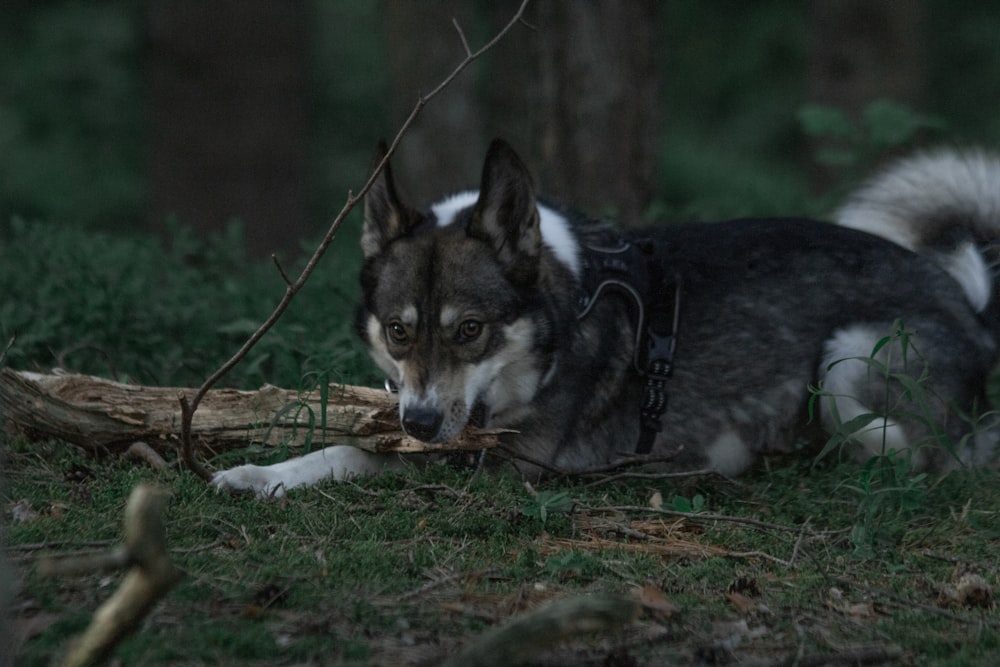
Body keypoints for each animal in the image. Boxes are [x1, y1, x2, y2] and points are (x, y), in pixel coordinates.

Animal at [211, 141, 1000, 496]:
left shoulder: (509, 460)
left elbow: (362, 454)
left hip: (843, 360)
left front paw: (263, 474)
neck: (562, 315)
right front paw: (257, 462)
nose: (423, 422)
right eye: (400, 330)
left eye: (471, 329)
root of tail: (968, 303)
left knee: (925, 454)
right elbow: (347, 435)